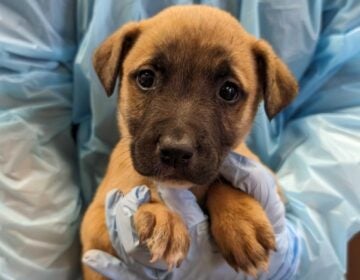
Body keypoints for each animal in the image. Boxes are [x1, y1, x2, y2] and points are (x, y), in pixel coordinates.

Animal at [82, 4, 298, 280]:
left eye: (229, 91)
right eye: (146, 78)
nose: (175, 151)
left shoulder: (271, 186)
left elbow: (222, 181)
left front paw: (241, 221)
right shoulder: (95, 223)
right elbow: (138, 195)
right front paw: (158, 217)